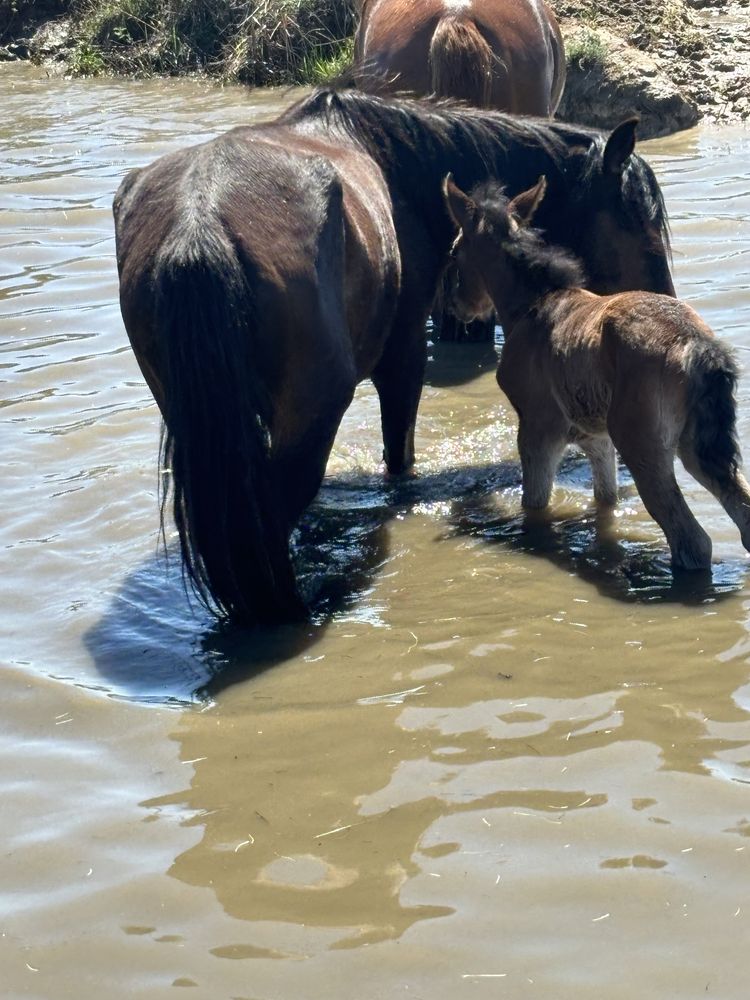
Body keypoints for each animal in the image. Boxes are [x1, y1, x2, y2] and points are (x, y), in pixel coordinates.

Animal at [114, 88, 680, 624]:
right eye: (639, 226)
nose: (663, 310)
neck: (398, 166)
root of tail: (199, 222)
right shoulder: (404, 357)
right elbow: (399, 456)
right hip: (314, 413)